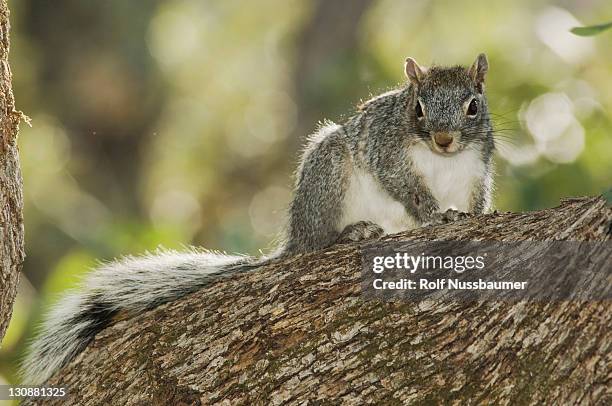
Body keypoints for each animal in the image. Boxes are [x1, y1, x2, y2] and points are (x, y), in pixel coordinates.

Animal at [21, 51, 494, 384]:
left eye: (473, 106)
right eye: (418, 109)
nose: (444, 139)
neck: (443, 160)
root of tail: (294, 238)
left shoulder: (476, 173)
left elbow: (475, 202)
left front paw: (465, 216)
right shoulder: (390, 156)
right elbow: (408, 189)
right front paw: (433, 215)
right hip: (328, 172)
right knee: (316, 242)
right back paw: (349, 233)